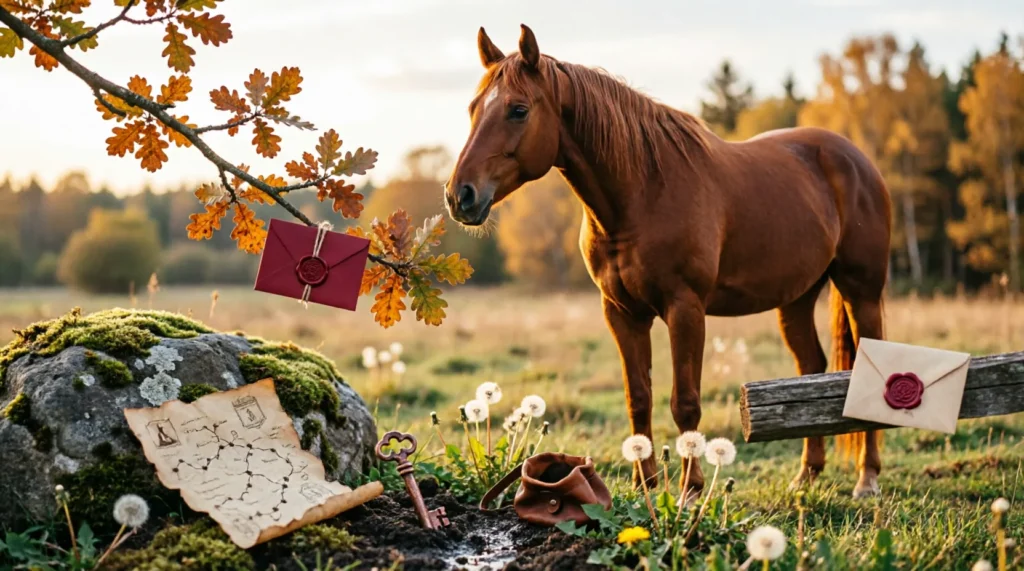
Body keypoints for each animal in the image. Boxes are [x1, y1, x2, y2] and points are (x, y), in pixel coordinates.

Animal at [444, 24, 891, 500]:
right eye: (474, 108)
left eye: (518, 110)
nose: (460, 195)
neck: (642, 194)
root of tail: (855, 158)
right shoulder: (622, 313)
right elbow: (638, 397)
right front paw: (644, 483)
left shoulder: (685, 308)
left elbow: (685, 402)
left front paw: (691, 489)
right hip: (797, 299)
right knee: (811, 366)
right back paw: (806, 474)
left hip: (861, 291)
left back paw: (867, 479)